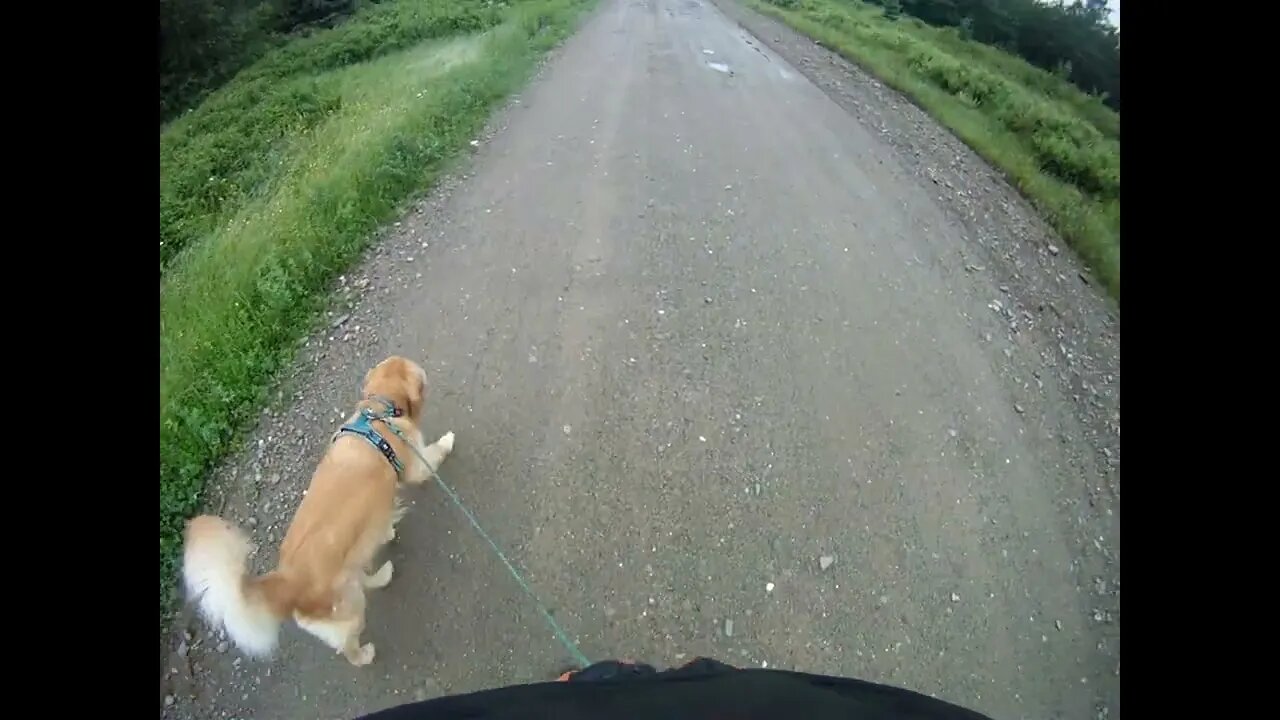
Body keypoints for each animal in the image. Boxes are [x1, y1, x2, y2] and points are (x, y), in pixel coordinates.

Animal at [181, 356, 455, 666]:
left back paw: (382, 574)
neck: (379, 411)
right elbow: (433, 456)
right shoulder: (416, 466)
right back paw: (364, 654)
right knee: (347, 646)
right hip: (348, 609)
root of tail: (285, 582)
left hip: (348, 579)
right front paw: (448, 441)